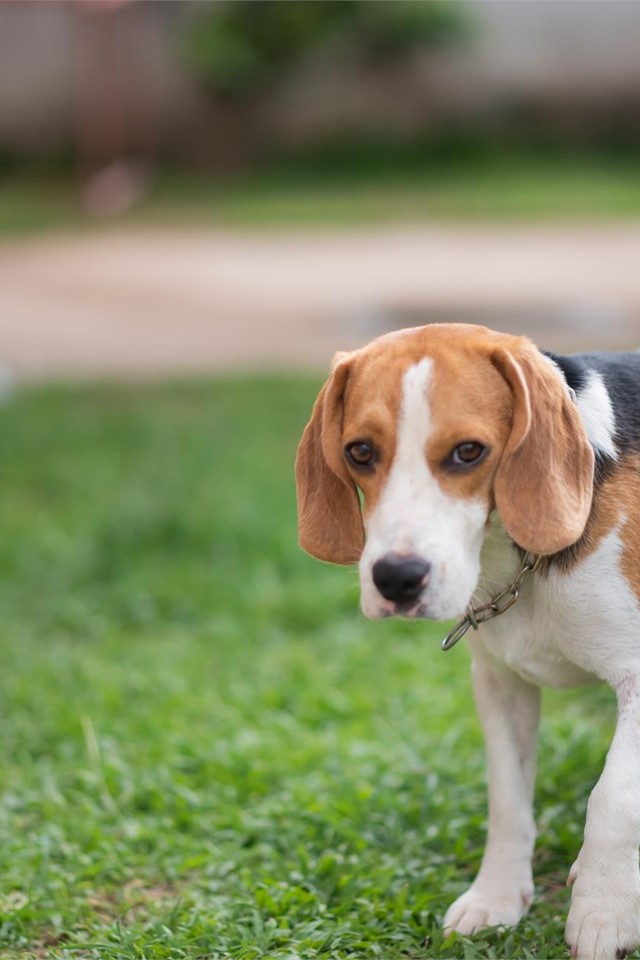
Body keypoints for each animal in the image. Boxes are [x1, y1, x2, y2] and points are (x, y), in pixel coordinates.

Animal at [296, 324, 640, 960]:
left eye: (469, 452)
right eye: (360, 452)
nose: (396, 579)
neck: (520, 560)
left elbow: (614, 796)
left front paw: (604, 911)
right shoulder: (499, 683)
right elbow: (507, 797)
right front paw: (496, 899)